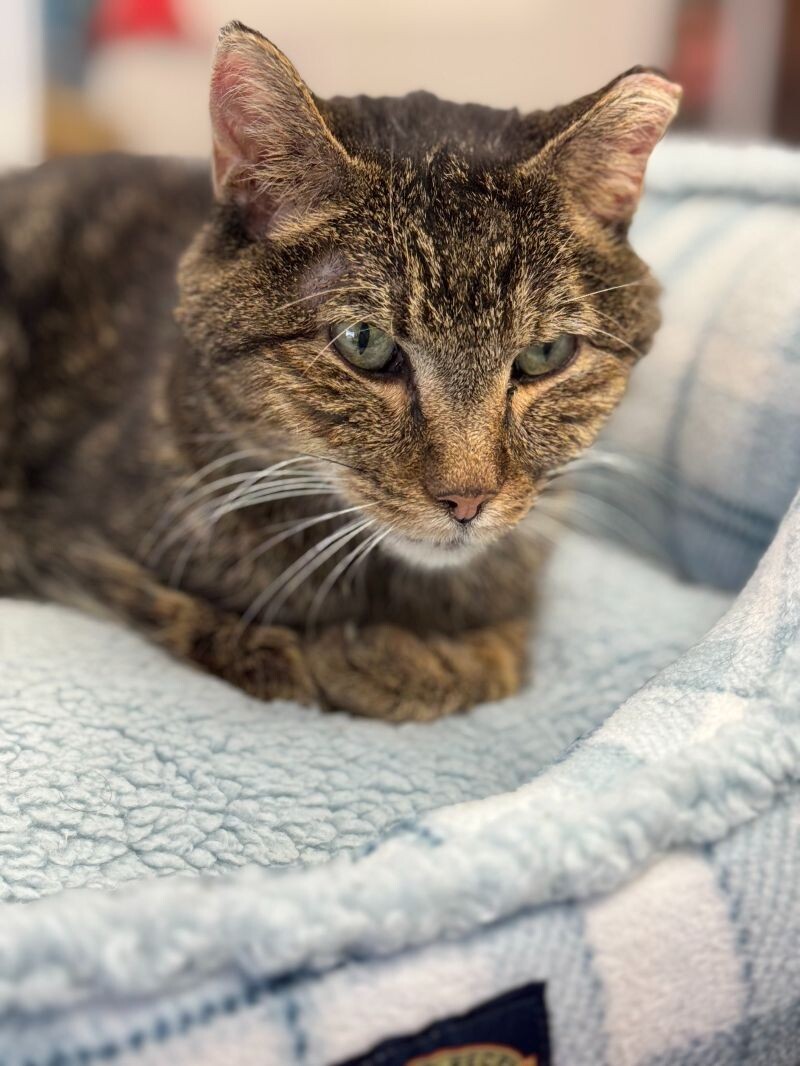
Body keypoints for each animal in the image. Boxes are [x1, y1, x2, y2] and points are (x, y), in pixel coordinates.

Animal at [0, 25, 678, 720]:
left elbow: (503, 642)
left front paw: (422, 656)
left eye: (546, 354)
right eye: (364, 343)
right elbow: (199, 618)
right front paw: (367, 656)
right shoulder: (52, 539)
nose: (468, 499)